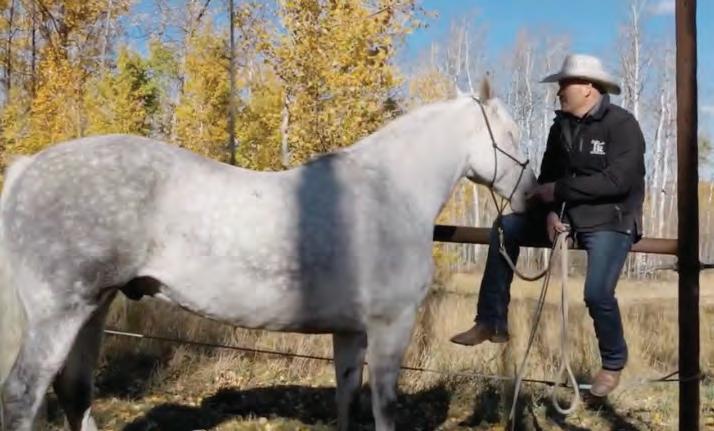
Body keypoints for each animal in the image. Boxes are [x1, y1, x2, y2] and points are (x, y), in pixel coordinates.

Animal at [0, 80, 536, 431]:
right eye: (510, 135)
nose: (531, 194)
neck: (391, 191)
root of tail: (28, 168)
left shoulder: (351, 331)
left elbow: (346, 400)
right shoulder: (391, 324)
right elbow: (383, 408)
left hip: (95, 307)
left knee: (74, 393)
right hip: (59, 314)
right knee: (23, 398)